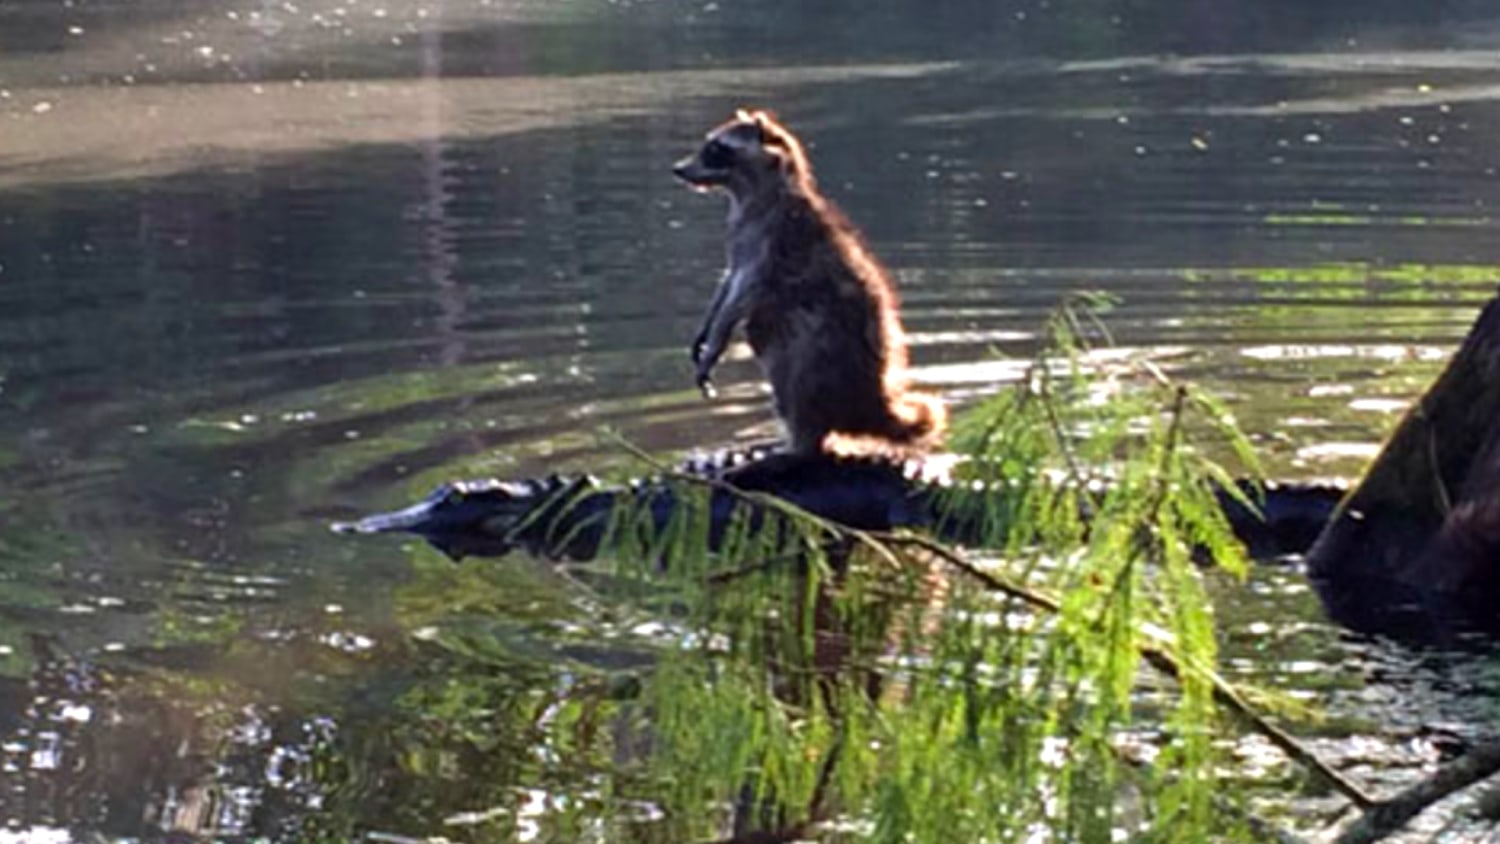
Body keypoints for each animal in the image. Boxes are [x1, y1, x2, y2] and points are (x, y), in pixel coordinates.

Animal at [673, 109, 946, 457]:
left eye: (715, 149)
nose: (678, 169)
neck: (749, 193)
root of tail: (871, 403)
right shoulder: (740, 238)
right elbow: (728, 281)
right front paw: (706, 328)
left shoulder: (770, 240)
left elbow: (742, 293)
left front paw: (715, 342)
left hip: (824, 354)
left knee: (795, 364)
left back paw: (798, 442)